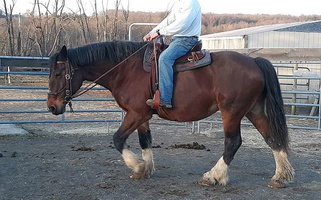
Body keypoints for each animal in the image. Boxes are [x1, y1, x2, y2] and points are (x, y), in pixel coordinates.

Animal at [46, 40, 294, 188]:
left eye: (58, 73)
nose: (51, 107)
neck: (126, 70)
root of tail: (254, 61)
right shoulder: (142, 116)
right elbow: (145, 141)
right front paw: (145, 170)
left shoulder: (136, 113)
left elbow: (117, 139)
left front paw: (137, 166)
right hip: (255, 110)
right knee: (272, 138)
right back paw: (280, 176)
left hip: (231, 111)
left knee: (233, 142)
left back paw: (213, 176)